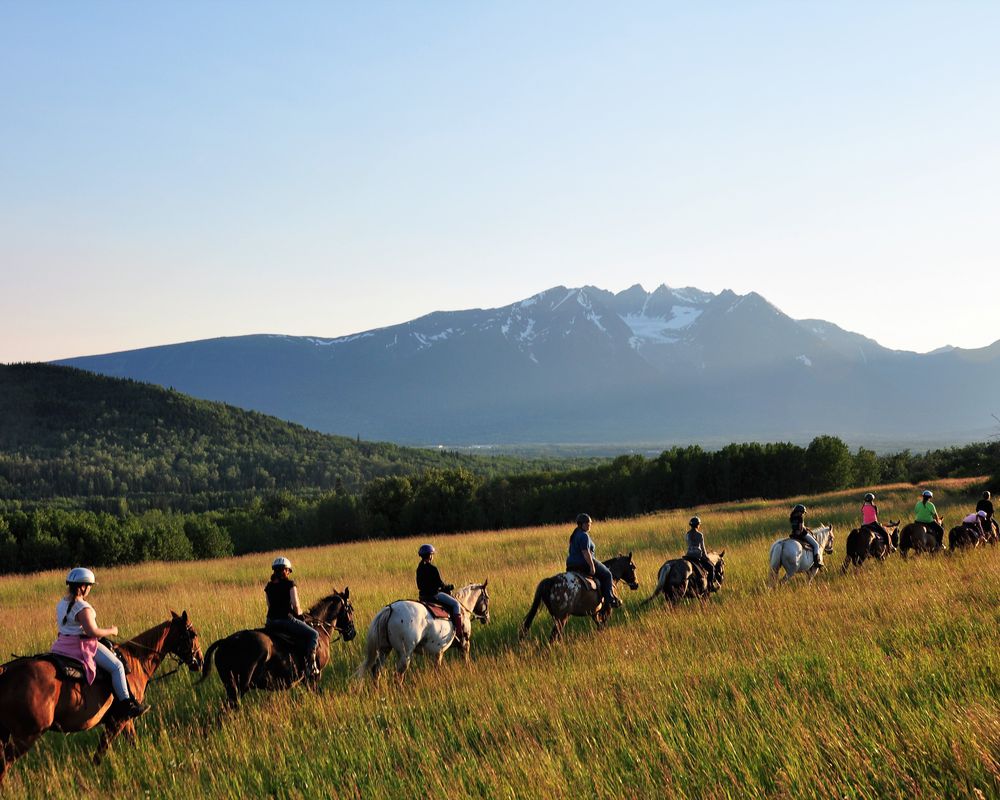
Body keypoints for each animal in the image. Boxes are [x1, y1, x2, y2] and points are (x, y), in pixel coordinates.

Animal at [0, 612, 203, 780]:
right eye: (192, 634)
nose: (199, 661)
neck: (136, 661)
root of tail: (6, 671)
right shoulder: (118, 720)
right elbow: (100, 752)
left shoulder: (125, 720)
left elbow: (129, 743)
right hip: (27, 735)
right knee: (4, 765)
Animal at [199, 588, 356, 708]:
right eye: (351, 609)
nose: (352, 633)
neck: (319, 628)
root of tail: (224, 642)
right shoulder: (315, 675)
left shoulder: (306, 679)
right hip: (239, 687)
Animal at [356, 580, 488, 680]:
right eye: (487, 598)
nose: (486, 618)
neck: (462, 609)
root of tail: (391, 609)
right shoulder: (465, 644)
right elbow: (466, 661)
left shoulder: (438, 652)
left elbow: (437, 669)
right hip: (405, 654)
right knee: (398, 675)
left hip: (384, 649)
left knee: (376, 670)